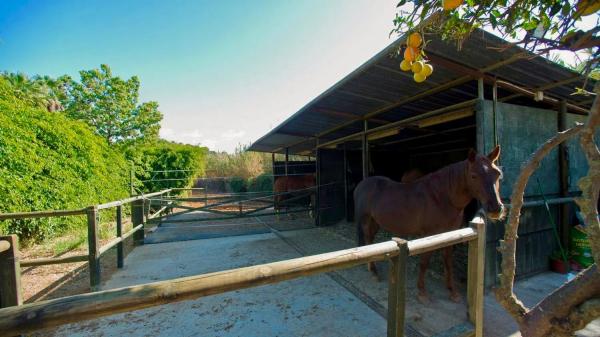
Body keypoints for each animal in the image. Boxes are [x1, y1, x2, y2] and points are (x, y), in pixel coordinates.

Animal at [354, 146, 504, 304]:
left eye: (497, 174)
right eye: (474, 176)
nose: (496, 209)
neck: (442, 197)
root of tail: (362, 184)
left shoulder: (451, 234)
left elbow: (448, 261)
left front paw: (453, 292)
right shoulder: (429, 235)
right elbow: (424, 262)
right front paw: (422, 292)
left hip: (376, 221)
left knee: (370, 239)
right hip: (366, 220)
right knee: (367, 238)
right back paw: (373, 271)